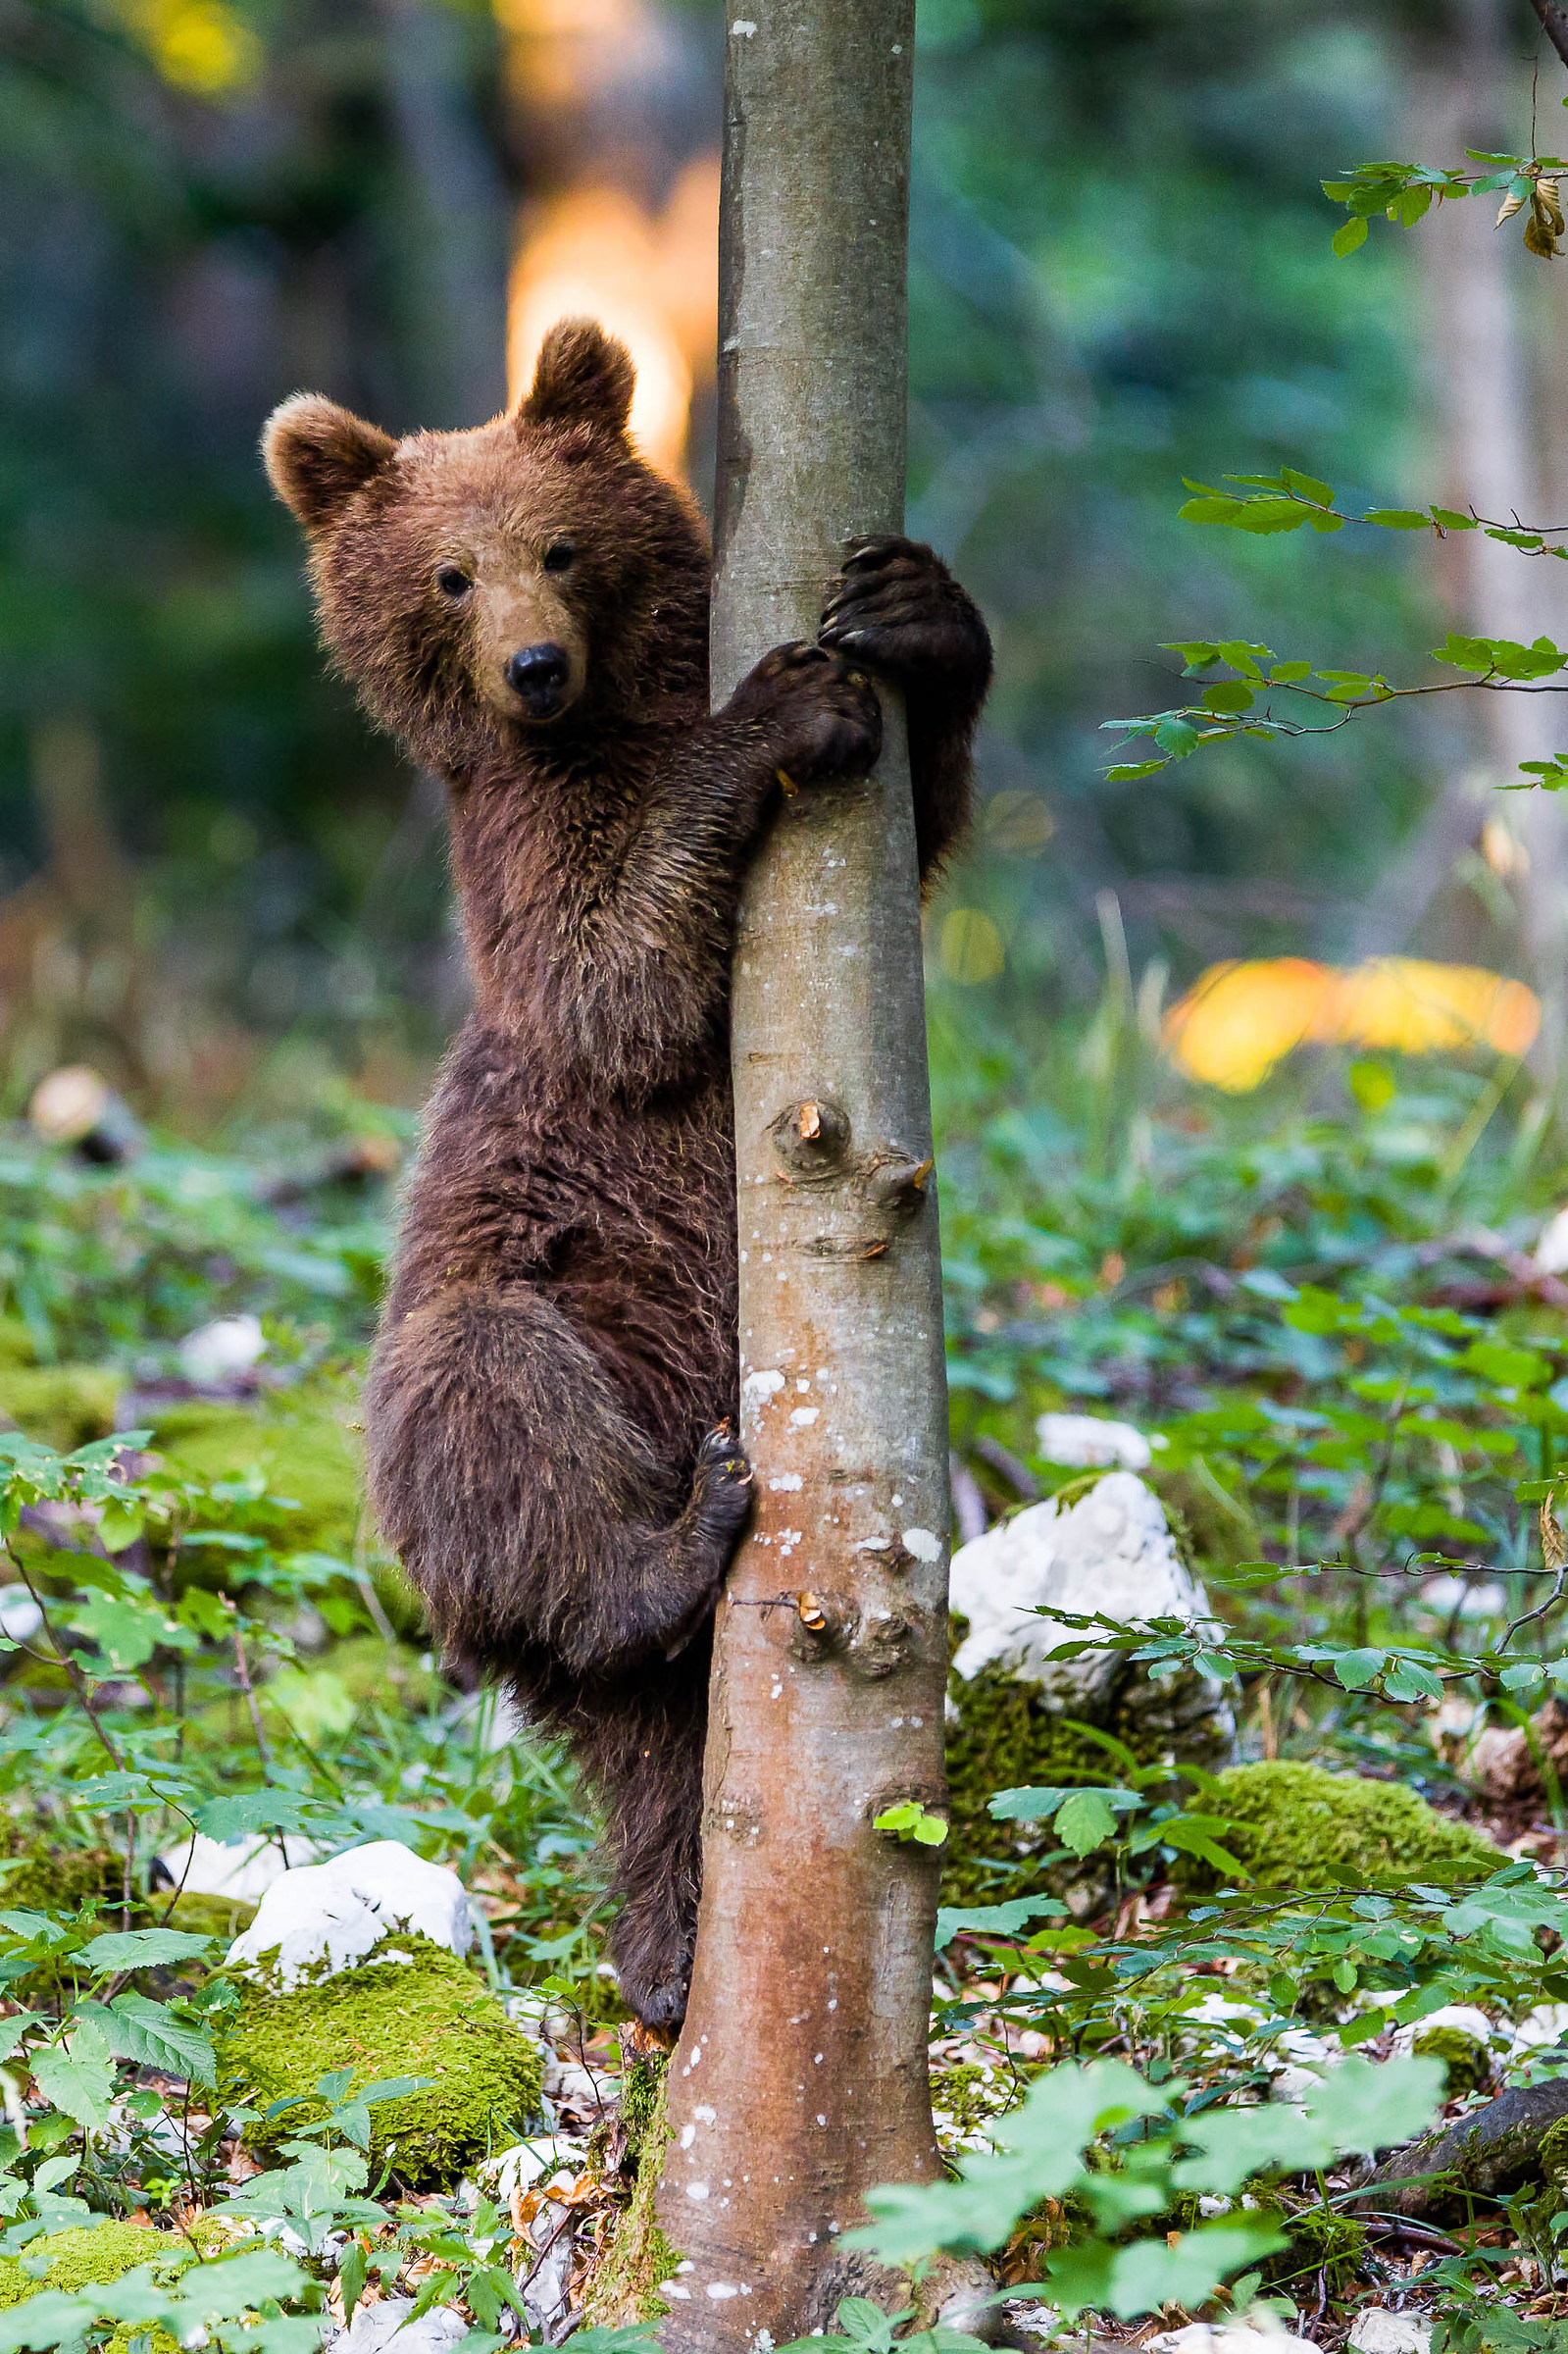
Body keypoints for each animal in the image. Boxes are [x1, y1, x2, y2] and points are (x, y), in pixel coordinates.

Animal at [262, 318, 992, 2029]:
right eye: (447, 576)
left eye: (560, 547)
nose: (532, 666)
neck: (599, 726)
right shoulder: (532, 864)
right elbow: (619, 978)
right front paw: (783, 706)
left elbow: (925, 821)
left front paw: (911, 612)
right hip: (528, 1322)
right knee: (498, 1413)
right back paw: (670, 1550)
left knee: (654, 1745)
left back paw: (666, 1946)